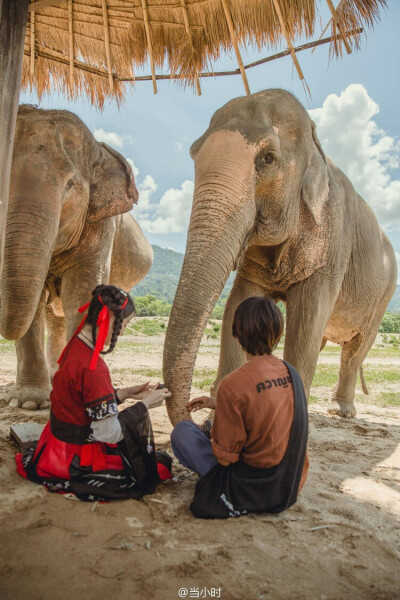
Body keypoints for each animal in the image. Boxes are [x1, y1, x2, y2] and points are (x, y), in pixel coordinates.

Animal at [0, 105, 153, 410]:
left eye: (70, 184)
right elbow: (34, 304)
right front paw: (29, 403)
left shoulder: (101, 225)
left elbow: (81, 291)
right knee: (51, 316)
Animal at [162, 90, 396, 426]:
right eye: (193, 153)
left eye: (268, 159)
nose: (195, 416)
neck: (315, 144)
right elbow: (239, 305)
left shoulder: (331, 249)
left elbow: (308, 318)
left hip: (383, 296)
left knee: (356, 348)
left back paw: (342, 412)